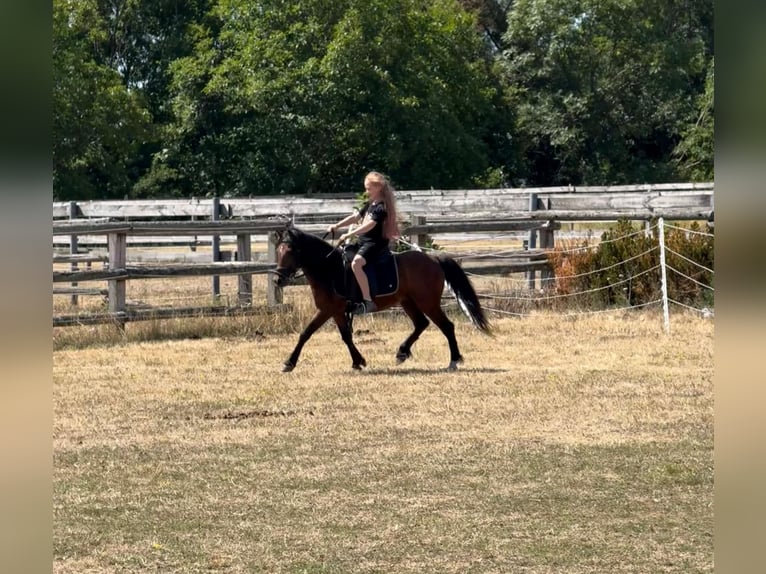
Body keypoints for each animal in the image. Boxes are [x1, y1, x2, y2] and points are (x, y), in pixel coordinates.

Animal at [272, 225, 491, 372]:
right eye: (278, 250)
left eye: (291, 250)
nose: (277, 279)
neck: (330, 270)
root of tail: (433, 259)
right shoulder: (335, 312)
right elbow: (344, 336)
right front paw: (358, 361)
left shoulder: (327, 310)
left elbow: (306, 333)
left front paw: (289, 363)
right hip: (408, 302)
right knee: (421, 324)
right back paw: (402, 352)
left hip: (427, 303)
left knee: (447, 326)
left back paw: (454, 360)